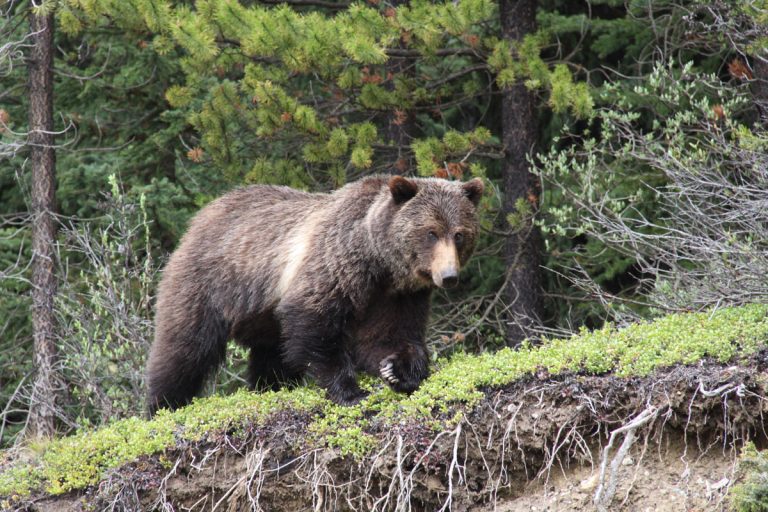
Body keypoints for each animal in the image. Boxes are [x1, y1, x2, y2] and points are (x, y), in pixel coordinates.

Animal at [146, 174, 484, 414]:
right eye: (430, 232)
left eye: (459, 234)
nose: (449, 276)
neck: (380, 264)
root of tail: (198, 219)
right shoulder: (335, 265)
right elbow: (314, 322)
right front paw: (350, 392)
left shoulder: (398, 297)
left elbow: (388, 336)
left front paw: (397, 370)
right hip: (208, 284)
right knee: (184, 349)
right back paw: (162, 406)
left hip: (262, 317)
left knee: (270, 355)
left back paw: (270, 386)